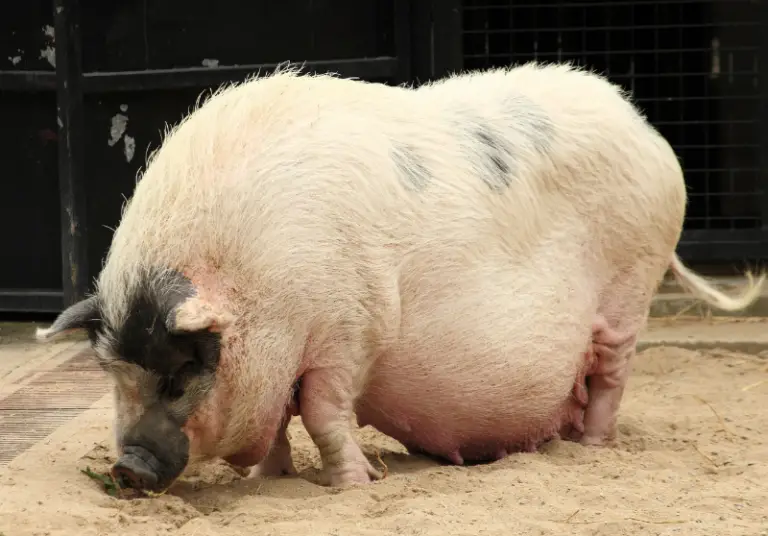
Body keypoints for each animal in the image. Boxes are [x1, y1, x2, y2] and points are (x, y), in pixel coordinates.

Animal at [36, 62, 764, 493]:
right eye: (113, 373)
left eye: (181, 372)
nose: (127, 465)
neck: (261, 282)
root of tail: (650, 133)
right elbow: (281, 420)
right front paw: (268, 482)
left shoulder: (350, 325)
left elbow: (324, 413)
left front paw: (355, 488)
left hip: (629, 288)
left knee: (612, 376)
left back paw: (592, 448)